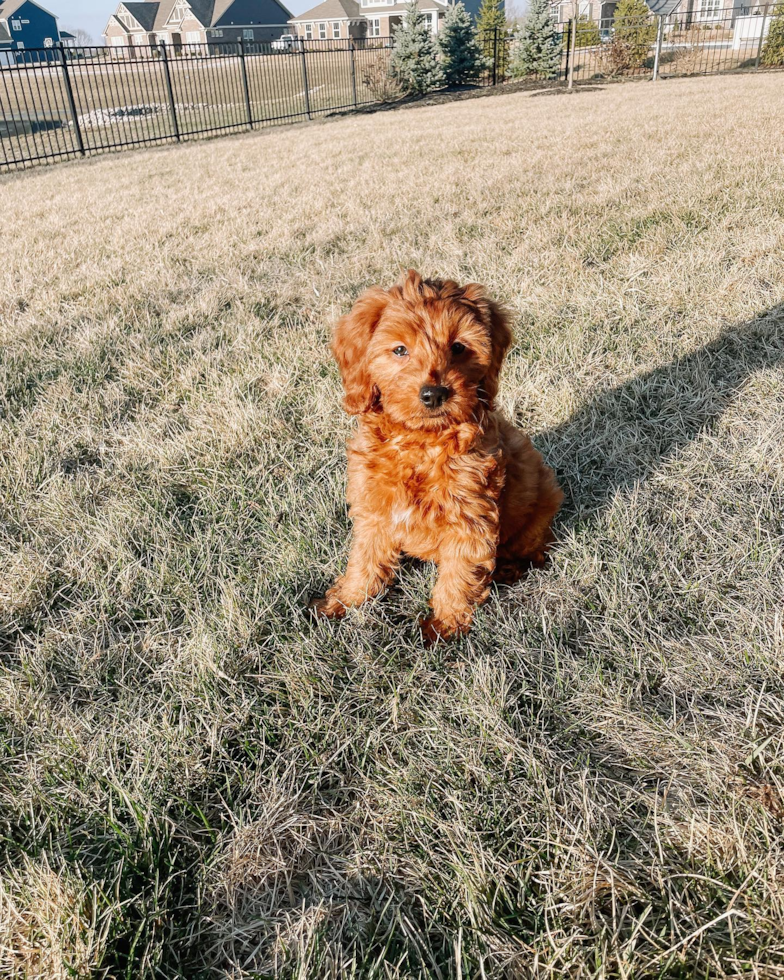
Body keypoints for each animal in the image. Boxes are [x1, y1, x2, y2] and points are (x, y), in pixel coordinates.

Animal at [312, 270, 564, 644]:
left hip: (542, 502)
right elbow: (365, 559)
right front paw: (346, 600)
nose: (433, 394)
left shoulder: (470, 516)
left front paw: (445, 626)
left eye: (458, 347)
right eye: (399, 350)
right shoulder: (374, 509)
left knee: (534, 547)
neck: (420, 443)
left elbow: (459, 573)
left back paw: (509, 568)